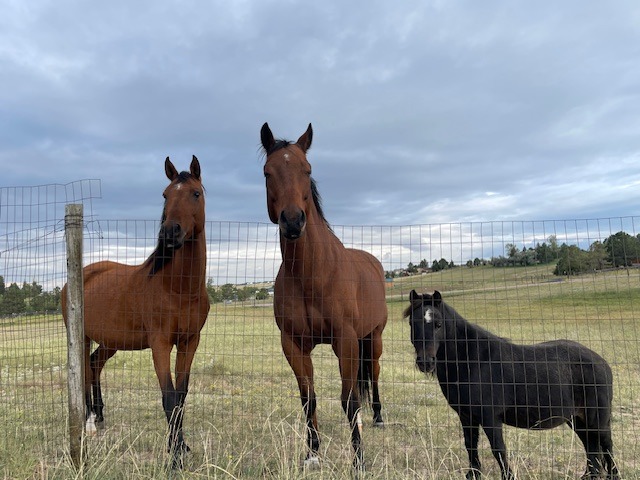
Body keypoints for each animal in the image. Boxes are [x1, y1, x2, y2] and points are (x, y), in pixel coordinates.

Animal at [61, 156, 209, 469]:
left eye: (195, 193)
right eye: (165, 195)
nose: (170, 232)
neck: (177, 288)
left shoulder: (190, 342)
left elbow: (181, 397)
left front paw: (182, 447)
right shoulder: (160, 344)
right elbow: (168, 398)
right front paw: (174, 458)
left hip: (111, 341)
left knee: (94, 365)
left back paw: (99, 417)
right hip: (81, 338)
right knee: (83, 371)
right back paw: (88, 423)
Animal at [260, 122, 387, 472]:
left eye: (307, 169)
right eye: (267, 172)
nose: (293, 221)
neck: (311, 275)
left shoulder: (345, 340)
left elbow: (349, 400)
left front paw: (358, 461)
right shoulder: (293, 344)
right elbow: (309, 399)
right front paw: (312, 453)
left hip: (373, 338)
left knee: (374, 374)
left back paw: (379, 417)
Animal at [404, 290, 619, 480]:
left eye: (438, 324)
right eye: (412, 323)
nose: (425, 362)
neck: (473, 361)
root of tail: (601, 362)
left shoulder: (490, 417)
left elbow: (498, 449)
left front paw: (508, 475)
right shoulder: (467, 416)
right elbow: (470, 445)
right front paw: (473, 474)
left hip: (597, 419)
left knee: (607, 446)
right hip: (577, 420)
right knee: (592, 450)